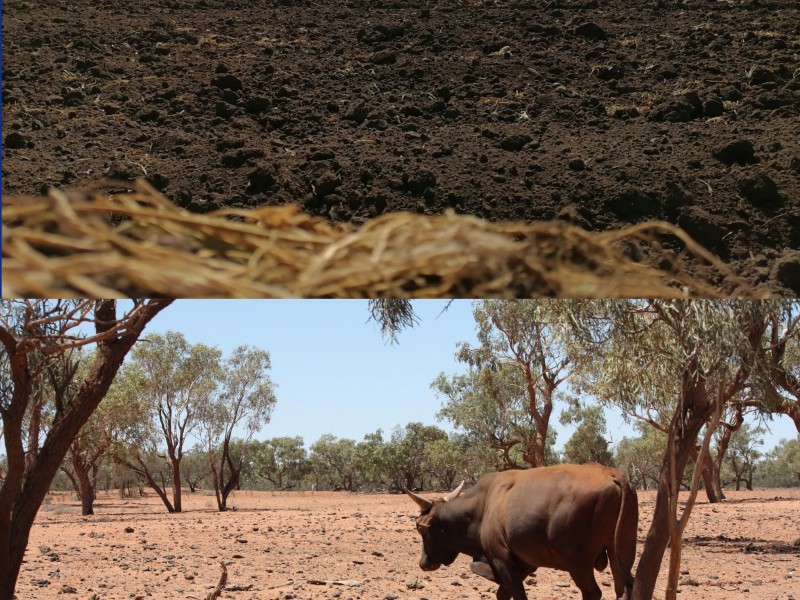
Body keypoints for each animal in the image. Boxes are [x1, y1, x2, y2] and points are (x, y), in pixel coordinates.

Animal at [406, 464, 636, 600]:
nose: (423, 563)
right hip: (617, 553)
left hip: (578, 564)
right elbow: (502, 594)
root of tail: (611, 473)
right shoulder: (523, 564)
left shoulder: (501, 560)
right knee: (624, 589)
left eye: (420, 528)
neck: (483, 505)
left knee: (592, 592)